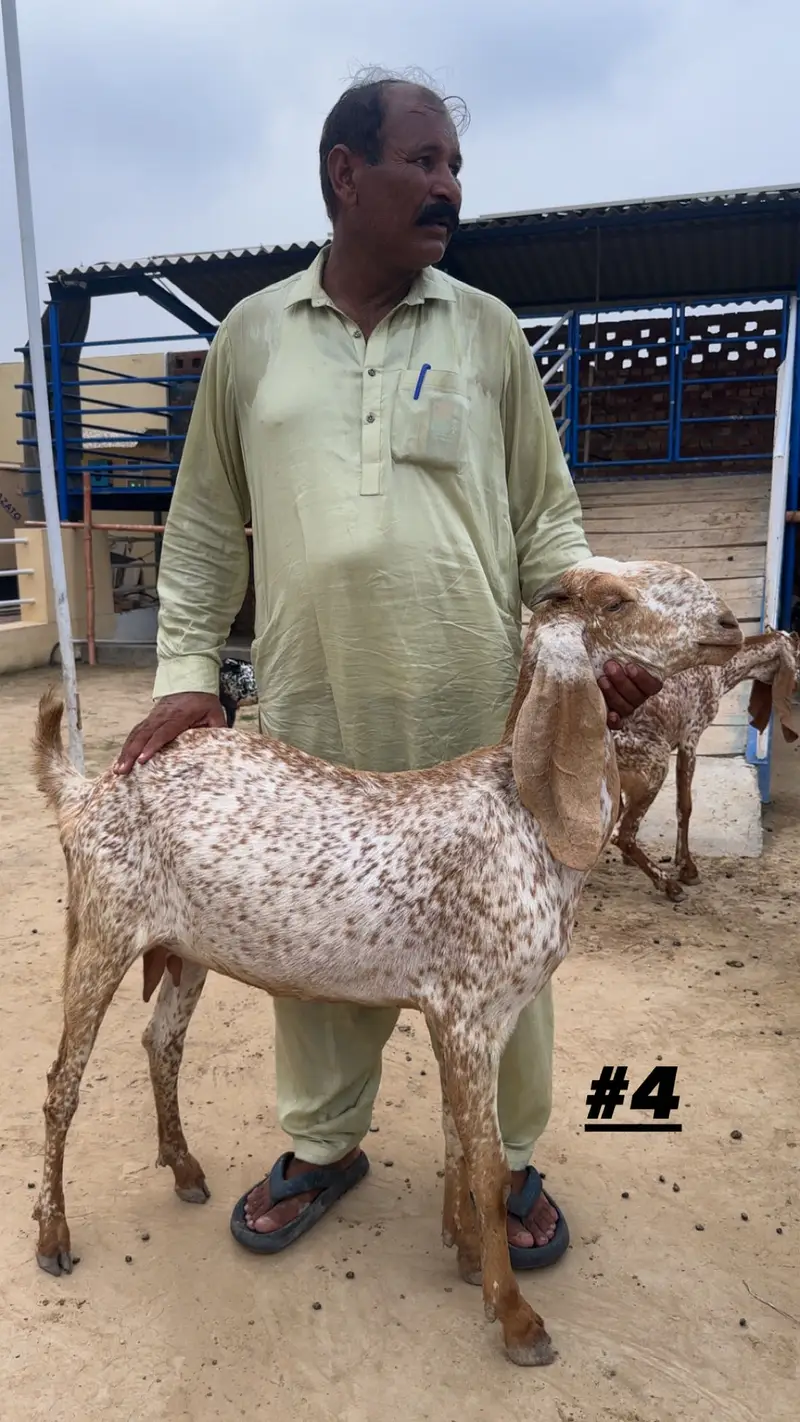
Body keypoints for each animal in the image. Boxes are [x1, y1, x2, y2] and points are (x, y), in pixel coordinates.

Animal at [31, 558, 741, 1366]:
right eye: (615, 600)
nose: (729, 623)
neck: (520, 815)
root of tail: (86, 789)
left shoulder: (463, 1018)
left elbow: (460, 1142)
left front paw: (464, 1250)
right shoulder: (468, 1013)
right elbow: (489, 1163)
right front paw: (515, 1315)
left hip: (183, 951)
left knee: (161, 1042)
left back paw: (183, 1169)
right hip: (102, 931)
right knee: (62, 1085)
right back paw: (53, 1235)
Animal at [612, 630, 800, 900]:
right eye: (798, 652)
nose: (798, 685)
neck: (720, 670)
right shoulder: (690, 738)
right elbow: (685, 806)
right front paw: (688, 868)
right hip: (656, 760)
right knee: (622, 834)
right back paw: (669, 885)